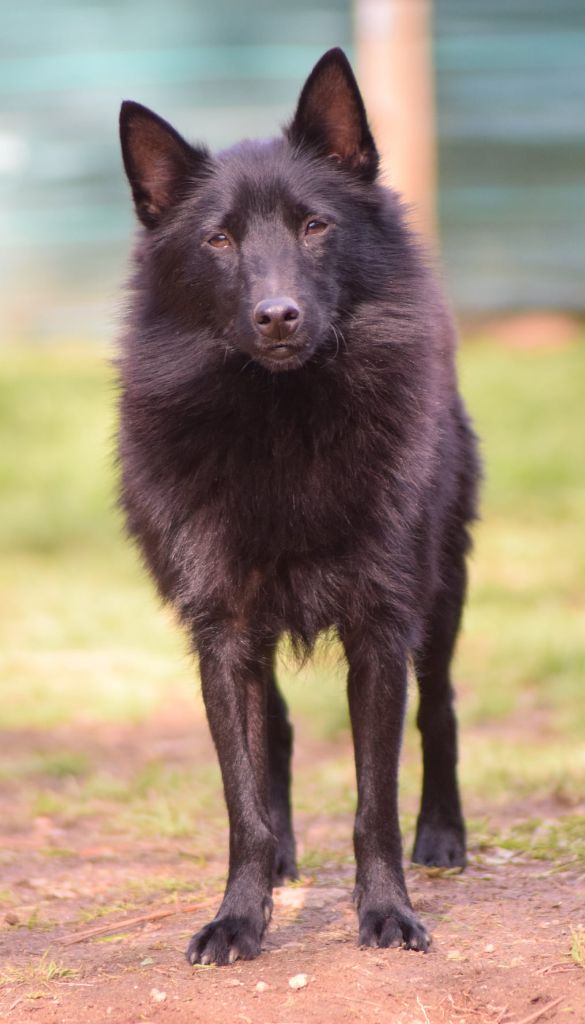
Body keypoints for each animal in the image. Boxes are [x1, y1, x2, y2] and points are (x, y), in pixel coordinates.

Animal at [118, 46, 481, 958]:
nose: (275, 316)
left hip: (442, 593)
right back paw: (282, 858)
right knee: (275, 735)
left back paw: (443, 836)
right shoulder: (222, 637)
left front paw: (386, 910)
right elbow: (241, 800)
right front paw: (238, 915)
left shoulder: (381, 629)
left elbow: (372, 803)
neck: (284, 427)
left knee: (440, 708)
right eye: (217, 239)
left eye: (315, 226)